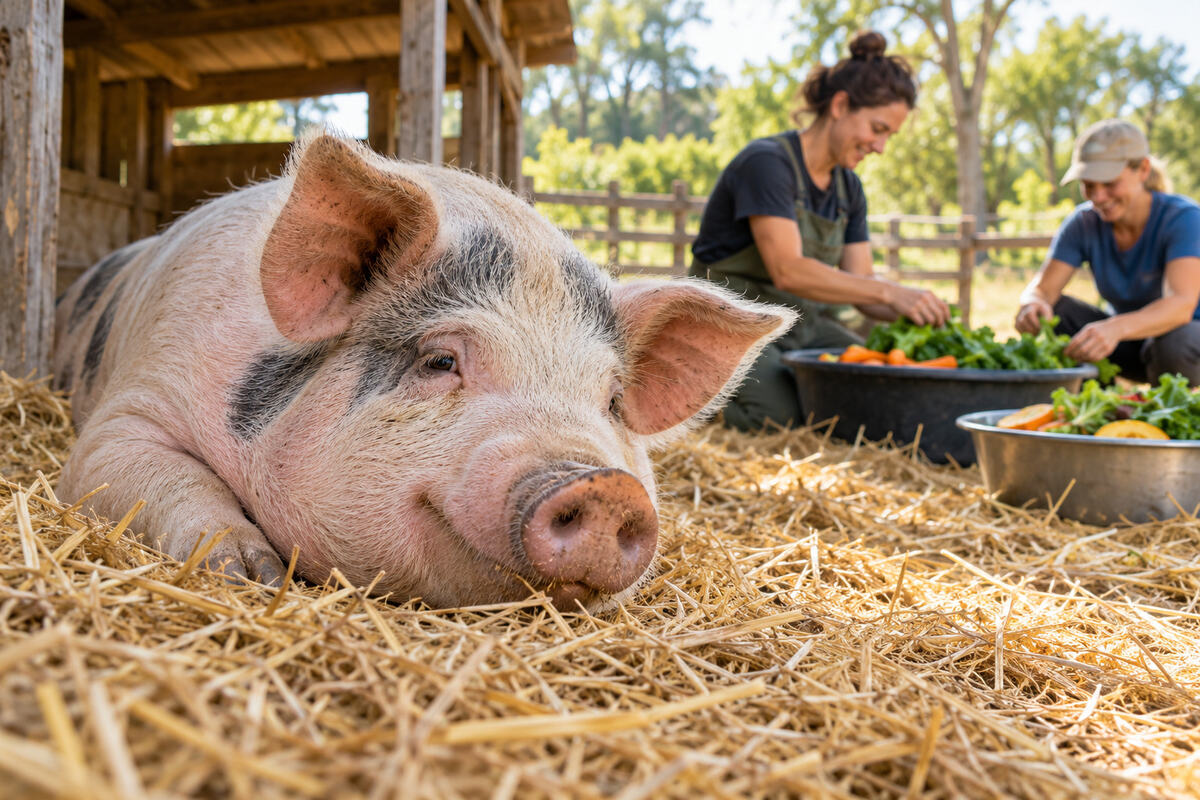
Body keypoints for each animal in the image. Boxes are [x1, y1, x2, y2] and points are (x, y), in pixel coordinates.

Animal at [52, 132, 795, 610]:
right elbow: (158, 474)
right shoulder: (129, 412)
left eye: (611, 402)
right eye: (441, 360)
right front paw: (250, 575)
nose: (607, 488)